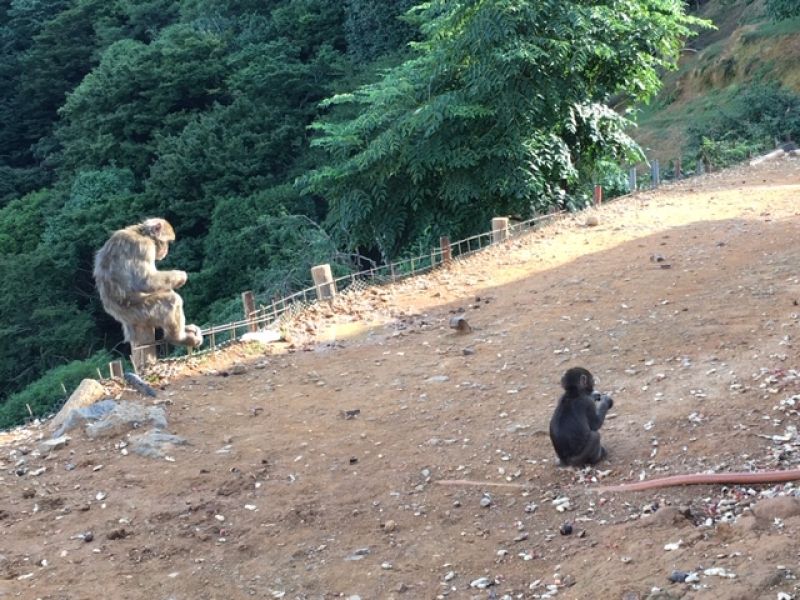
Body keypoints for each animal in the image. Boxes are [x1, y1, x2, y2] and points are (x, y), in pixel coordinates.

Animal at [93, 217, 203, 354]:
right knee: (171, 300)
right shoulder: (143, 247)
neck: (142, 233)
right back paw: (178, 338)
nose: (166, 249)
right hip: (141, 312)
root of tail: (120, 317)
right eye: (167, 242)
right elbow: (145, 281)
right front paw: (181, 276)